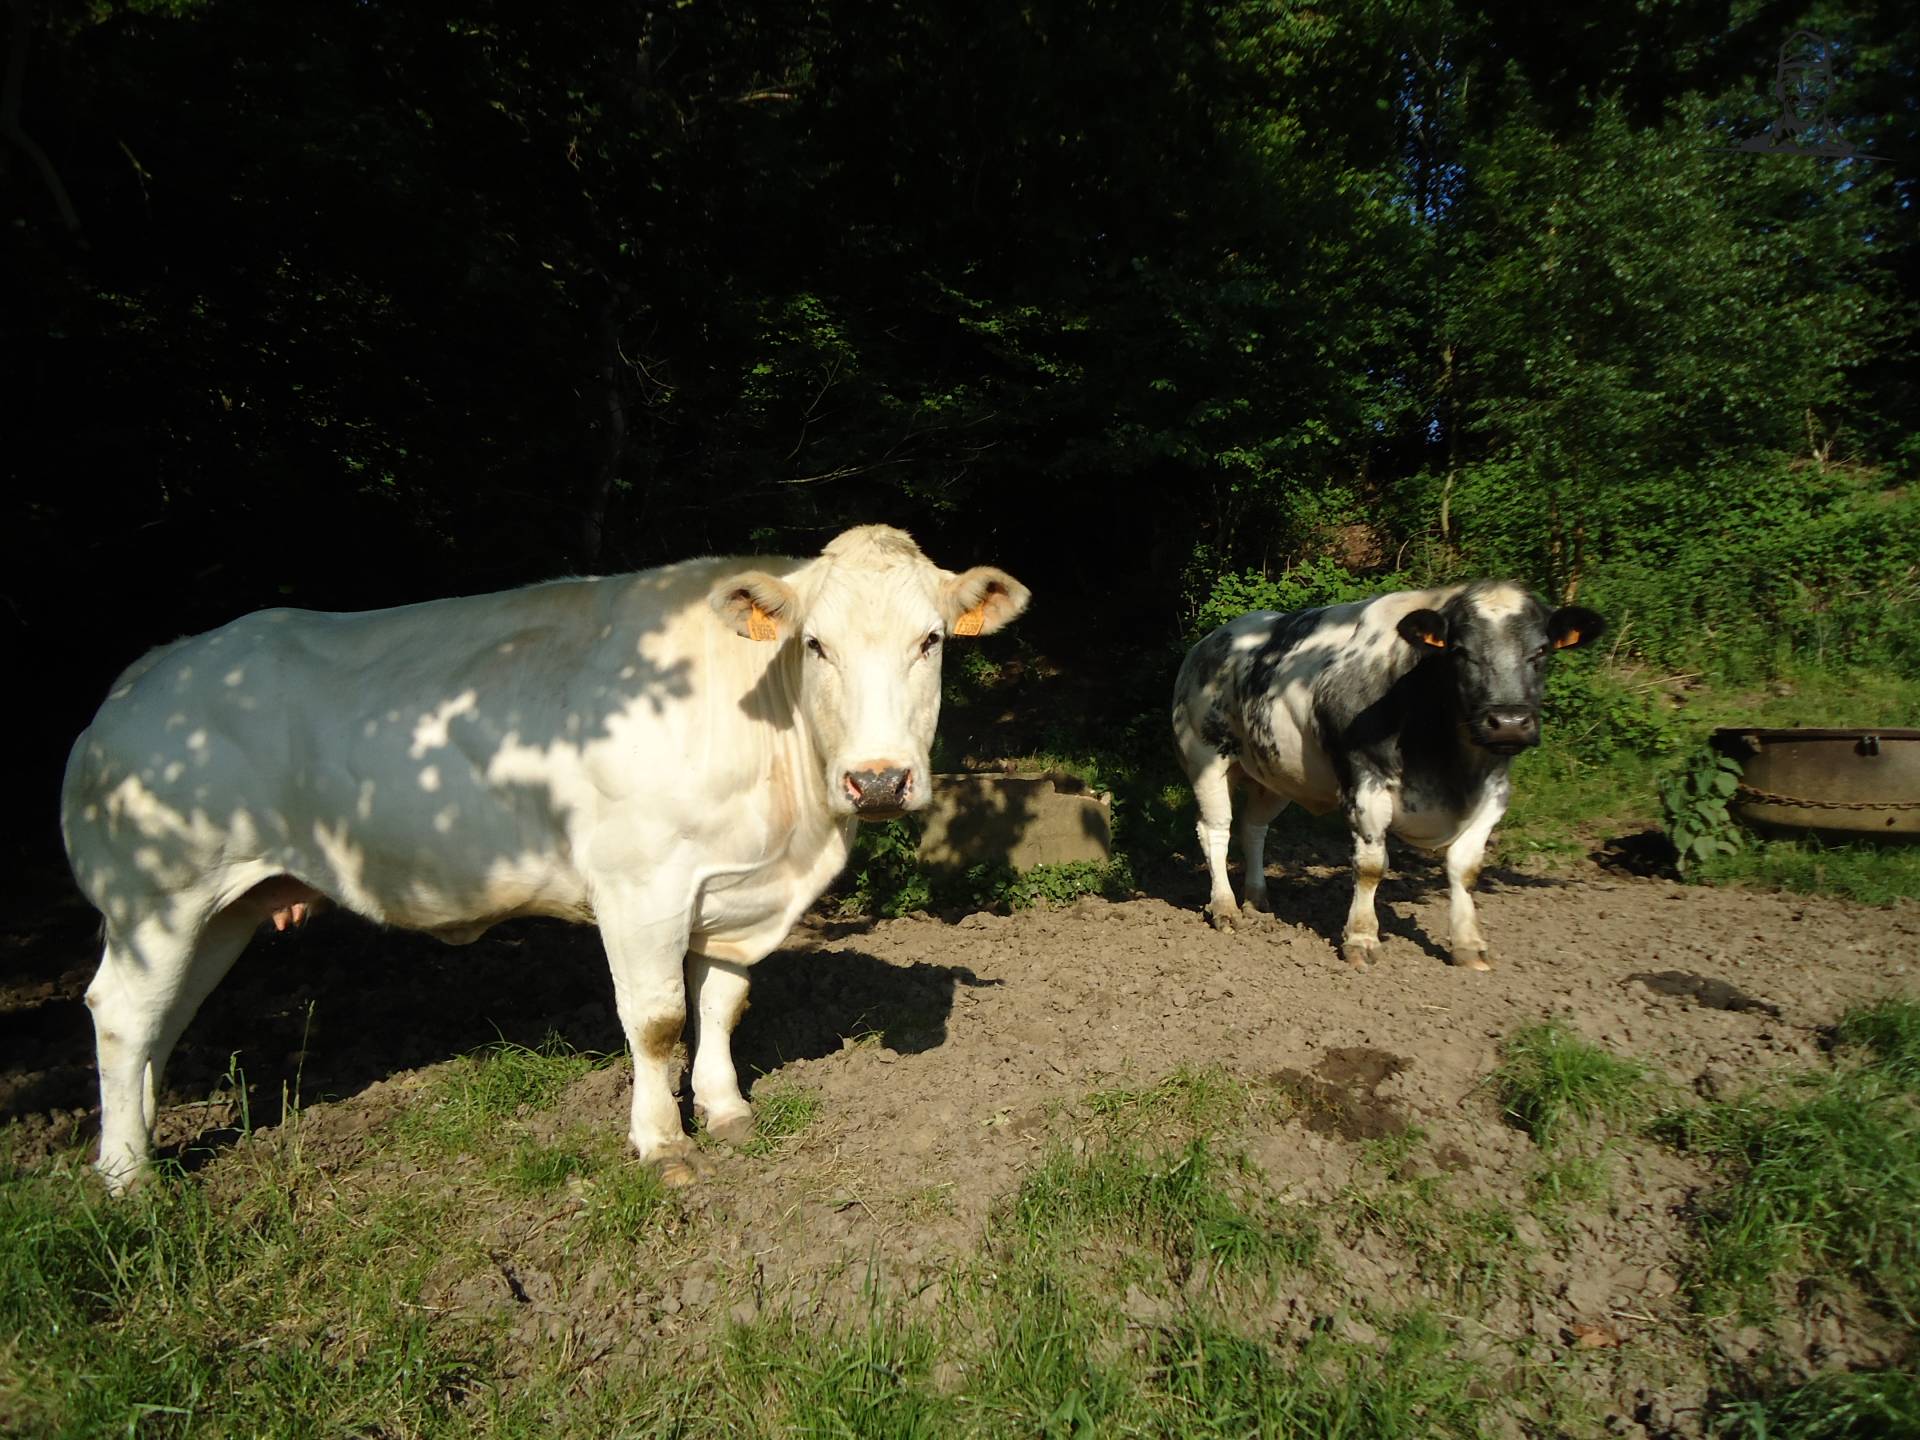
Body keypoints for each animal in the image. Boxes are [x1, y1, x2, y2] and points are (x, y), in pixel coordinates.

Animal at [62, 525, 1028, 1192]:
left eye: (931, 640)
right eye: (816, 644)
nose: (878, 779)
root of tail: (149, 673)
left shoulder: (734, 892)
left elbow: (722, 1006)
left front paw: (726, 1111)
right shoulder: (640, 885)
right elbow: (658, 1022)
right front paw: (663, 1144)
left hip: (223, 904)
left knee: (164, 1018)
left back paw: (138, 1140)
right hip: (159, 893)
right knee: (122, 1013)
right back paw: (127, 1177)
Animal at [1171, 582, 1602, 971]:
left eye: (1542, 650)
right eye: (1459, 651)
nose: (1509, 722)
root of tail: (1210, 641)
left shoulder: (1494, 792)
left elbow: (1466, 868)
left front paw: (1468, 944)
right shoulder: (1365, 781)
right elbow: (1371, 865)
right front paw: (1362, 938)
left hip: (1274, 771)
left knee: (1253, 828)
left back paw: (1257, 898)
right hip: (1206, 755)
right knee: (1216, 829)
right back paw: (1225, 906)